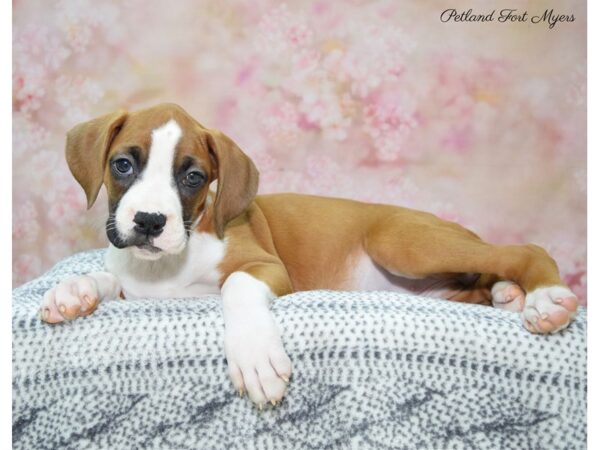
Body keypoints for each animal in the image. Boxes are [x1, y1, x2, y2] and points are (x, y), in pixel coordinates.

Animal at [41, 103, 576, 406]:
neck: (168, 264)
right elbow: (107, 278)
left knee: (521, 249)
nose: (150, 221)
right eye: (122, 165)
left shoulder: (266, 268)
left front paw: (256, 358)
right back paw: (508, 295)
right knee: (479, 282)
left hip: (403, 243)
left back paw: (544, 298)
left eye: (193, 177)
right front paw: (72, 291)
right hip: (431, 281)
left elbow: (236, 286)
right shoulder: (135, 285)